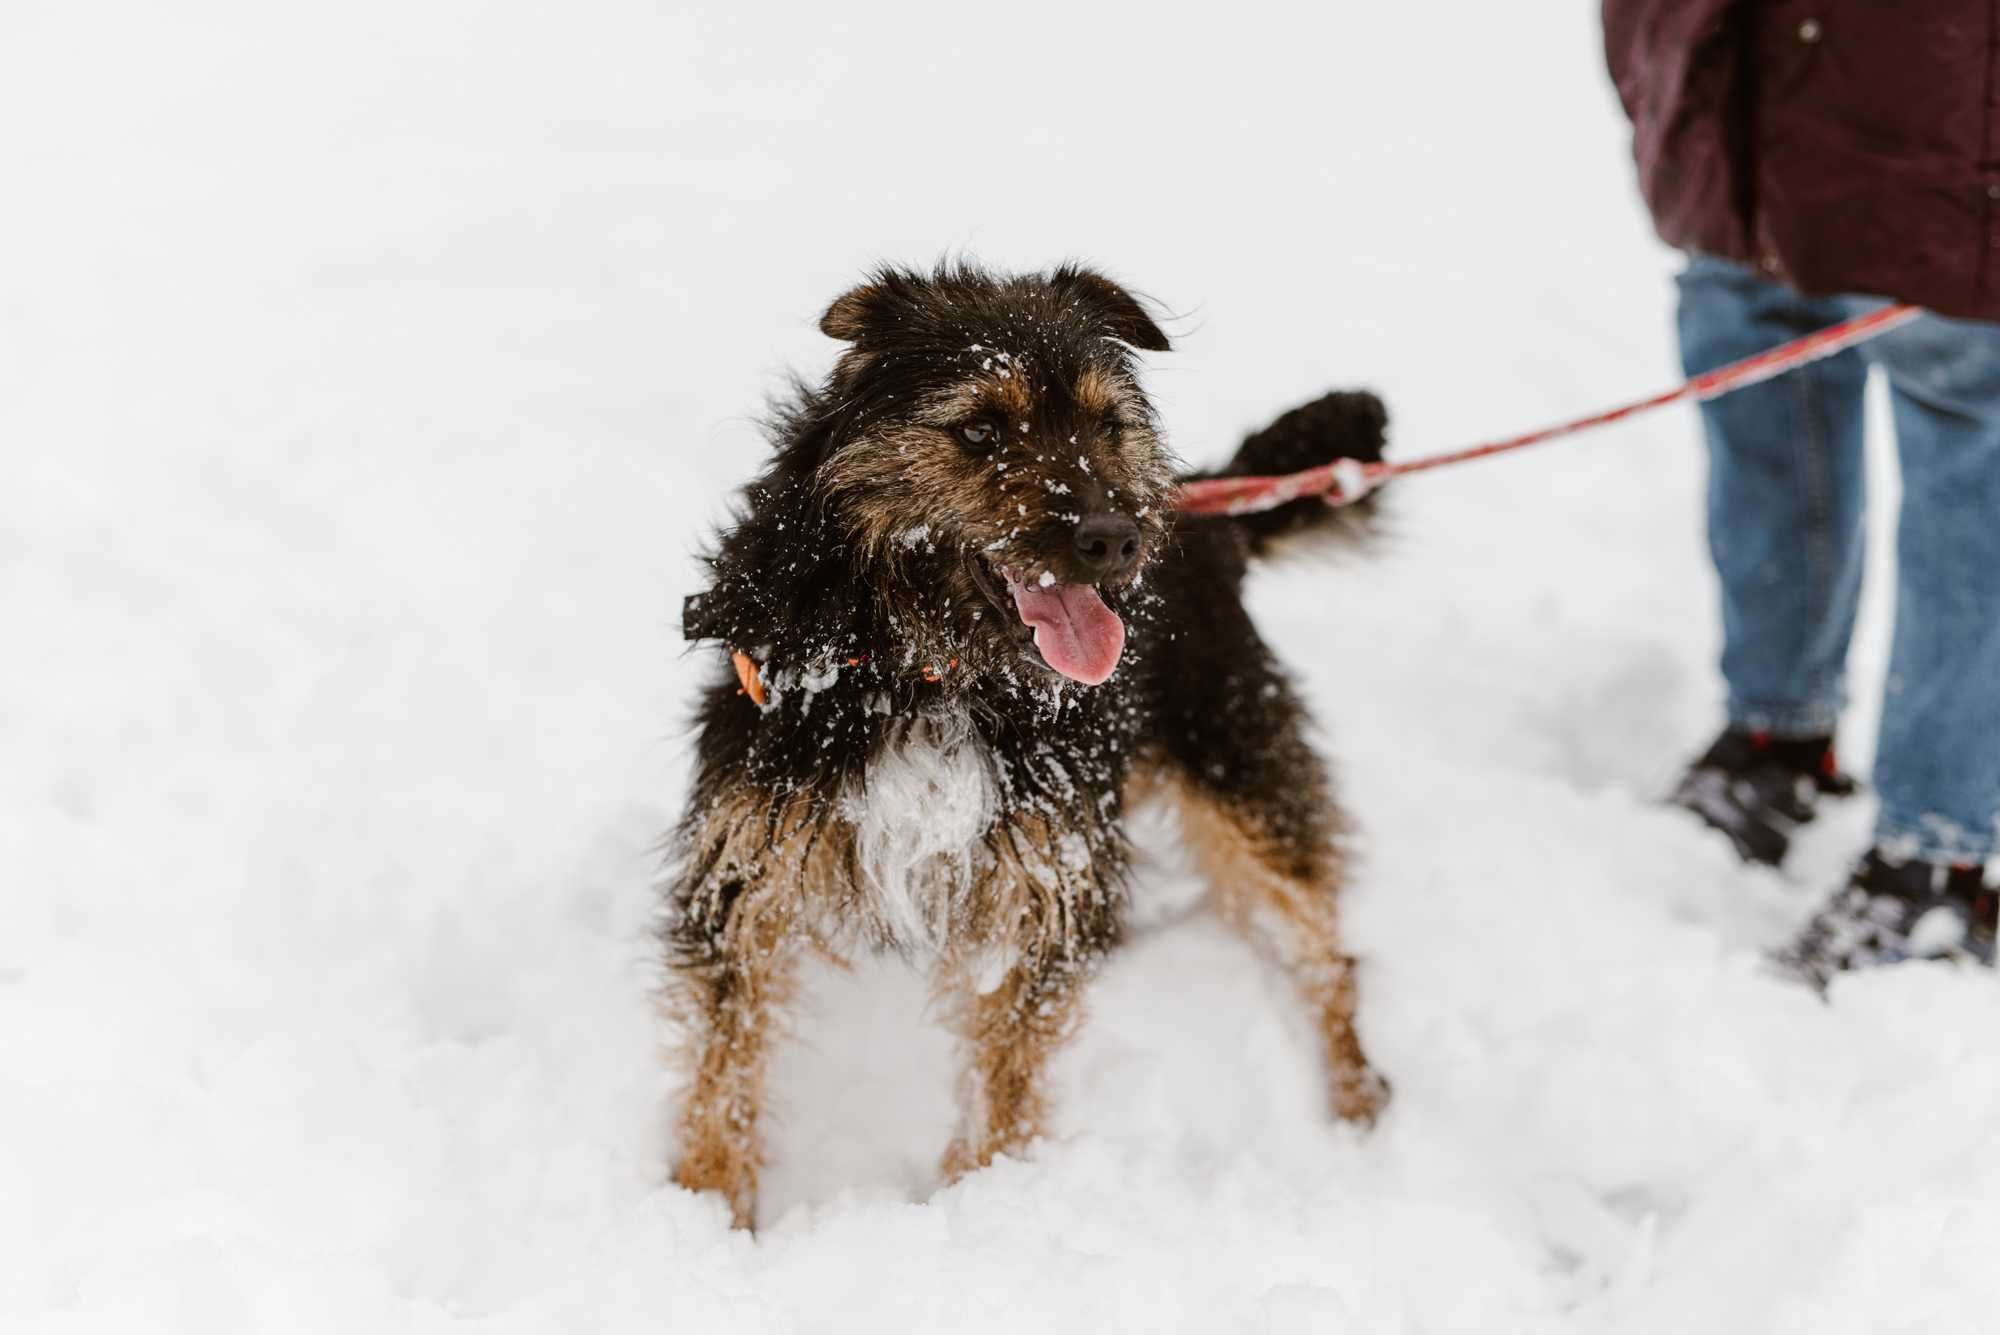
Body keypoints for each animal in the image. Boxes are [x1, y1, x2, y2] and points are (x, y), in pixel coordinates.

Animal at [664, 263, 1384, 1231]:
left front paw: (987, 1197)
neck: (929, 671)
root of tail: (1207, 509)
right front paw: (702, 1212)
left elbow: (1004, 1070)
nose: (1115, 538)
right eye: (980, 427)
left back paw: (1356, 1098)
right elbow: (725, 1061)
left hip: (1237, 761)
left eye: (1107, 424)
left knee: (1320, 944)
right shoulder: (749, 856)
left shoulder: (1037, 877)